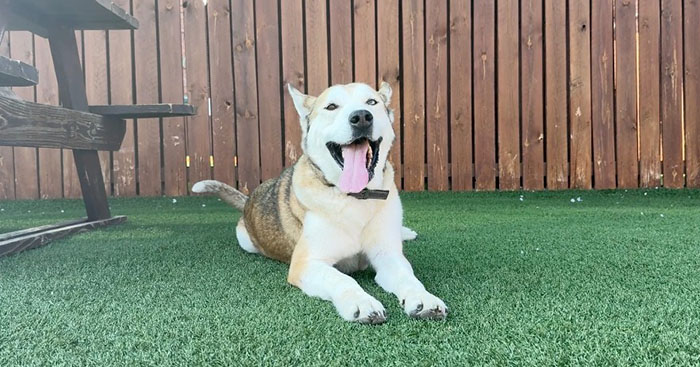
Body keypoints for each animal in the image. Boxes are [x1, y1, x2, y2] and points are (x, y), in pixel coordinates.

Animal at [196, 82, 448, 324]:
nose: (362, 117)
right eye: (331, 106)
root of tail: (248, 199)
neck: (354, 196)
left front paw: (424, 299)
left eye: (371, 102)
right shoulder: (307, 264)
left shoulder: (388, 255)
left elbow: (408, 278)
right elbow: (341, 279)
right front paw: (362, 303)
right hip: (245, 241)